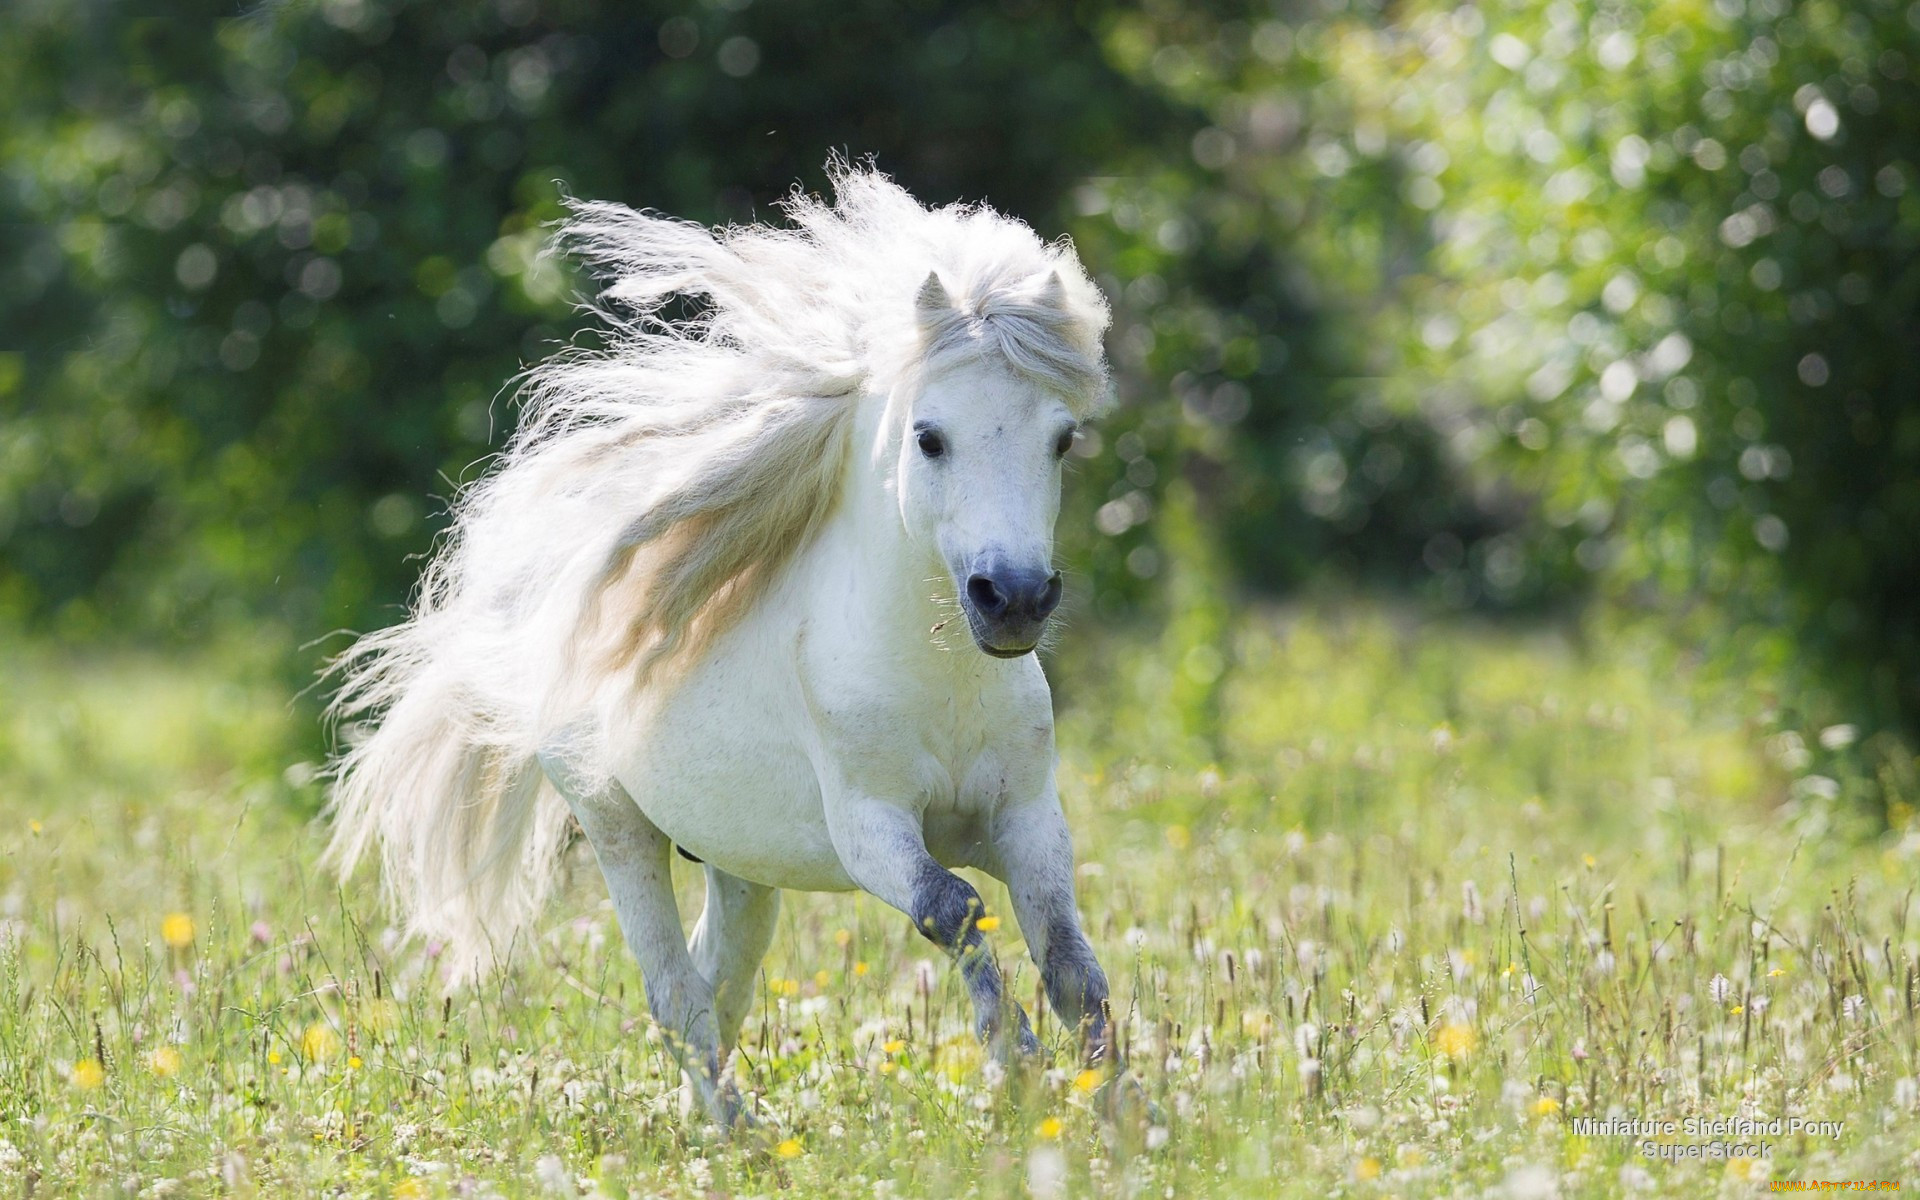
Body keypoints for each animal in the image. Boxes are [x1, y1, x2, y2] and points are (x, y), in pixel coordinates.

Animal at [322, 159, 1121, 1121]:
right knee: (675, 993)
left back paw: (705, 1121)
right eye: (930, 438)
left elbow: (1073, 964)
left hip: (739, 864)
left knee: (718, 981)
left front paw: (1117, 1108)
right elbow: (954, 909)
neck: (942, 685)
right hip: (618, 829)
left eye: (1063, 438)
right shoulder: (870, 826)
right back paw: (738, 1130)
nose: (1013, 601)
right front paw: (1018, 1068)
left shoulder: (1028, 818)